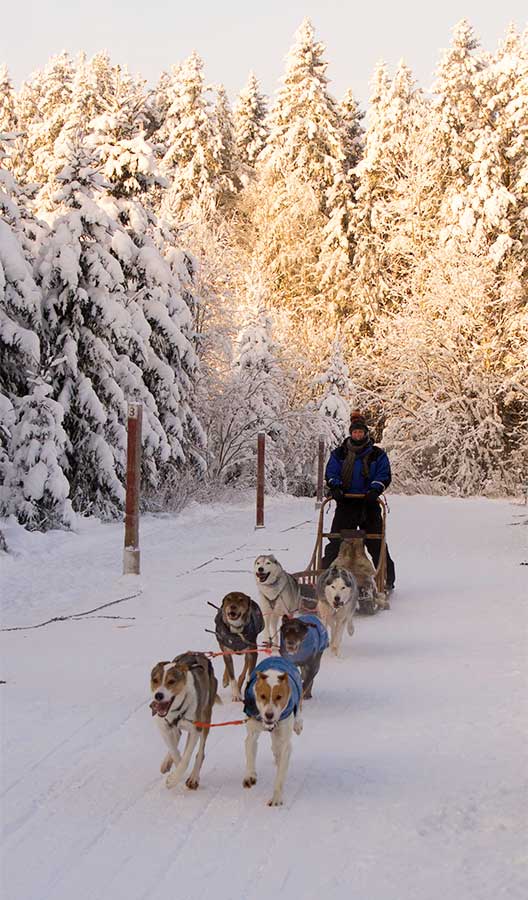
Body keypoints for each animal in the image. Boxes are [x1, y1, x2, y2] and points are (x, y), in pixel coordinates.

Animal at [150, 652, 220, 792]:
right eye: (155, 680)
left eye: (171, 681)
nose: (158, 695)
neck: (178, 709)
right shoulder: (163, 726)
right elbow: (174, 751)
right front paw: (174, 769)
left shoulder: (195, 730)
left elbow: (186, 759)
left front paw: (173, 780)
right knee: (177, 736)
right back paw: (167, 763)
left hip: (206, 718)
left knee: (200, 753)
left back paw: (193, 778)